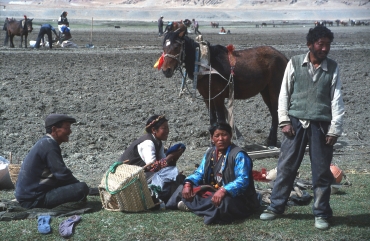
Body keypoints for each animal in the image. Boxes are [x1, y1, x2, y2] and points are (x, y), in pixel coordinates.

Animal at [162, 24, 290, 147]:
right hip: (265, 91)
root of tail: (283, 57)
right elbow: (212, 118)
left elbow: (221, 118)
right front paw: (212, 143)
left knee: (275, 112)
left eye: (177, 47)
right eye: (164, 47)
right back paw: (269, 140)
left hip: (275, 89)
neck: (205, 64)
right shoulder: (207, 97)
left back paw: (272, 142)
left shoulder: (218, 96)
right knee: (273, 112)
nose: (166, 70)